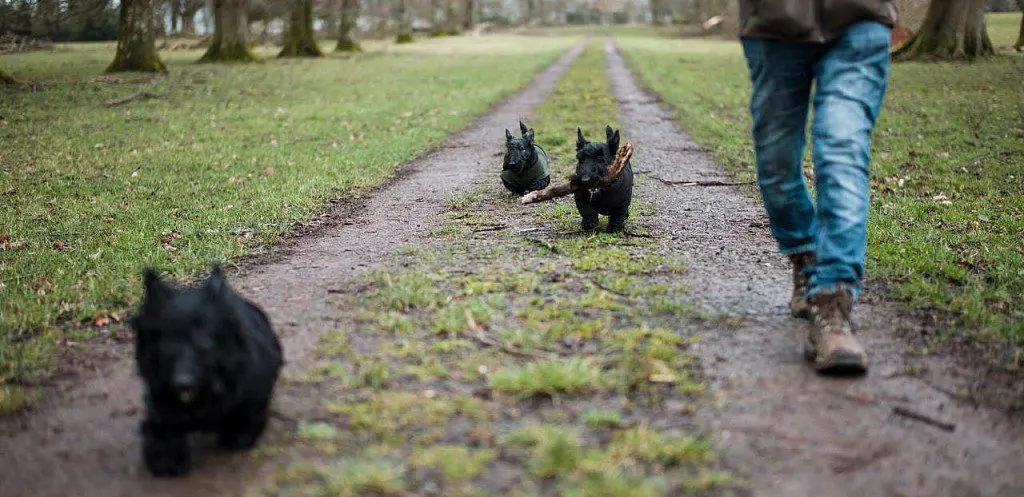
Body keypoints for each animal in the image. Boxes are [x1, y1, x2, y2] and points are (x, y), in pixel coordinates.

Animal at [132, 266, 286, 475]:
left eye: (204, 344)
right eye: (167, 345)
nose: (182, 383)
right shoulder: (159, 404)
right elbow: (162, 430)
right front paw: (166, 457)